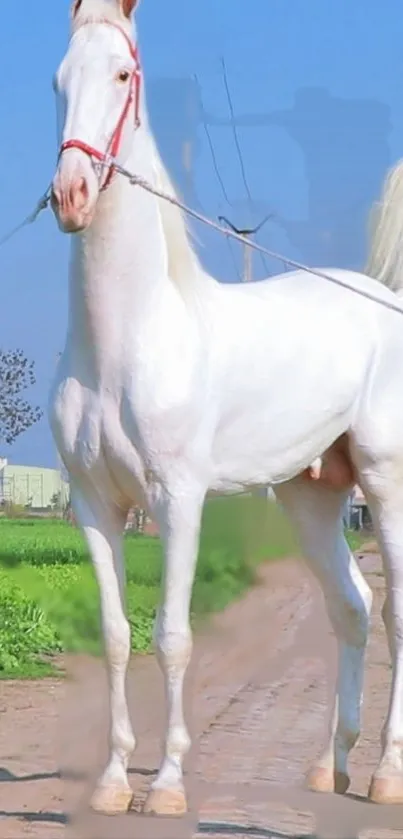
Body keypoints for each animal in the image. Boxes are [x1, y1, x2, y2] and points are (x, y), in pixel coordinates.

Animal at [49, 0, 403, 816]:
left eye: (122, 74)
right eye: (58, 79)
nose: (71, 194)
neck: (127, 339)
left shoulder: (177, 498)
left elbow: (172, 635)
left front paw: (167, 786)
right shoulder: (93, 503)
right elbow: (114, 635)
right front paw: (112, 781)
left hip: (385, 481)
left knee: (397, 615)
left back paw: (385, 774)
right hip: (312, 495)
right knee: (351, 606)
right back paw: (328, 768)